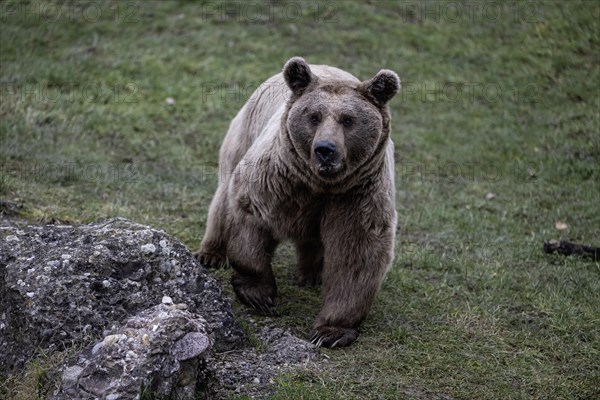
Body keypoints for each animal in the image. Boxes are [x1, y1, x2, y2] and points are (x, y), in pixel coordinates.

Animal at [197, 56, 400, 346]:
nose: (325, 149)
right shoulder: (278, 178)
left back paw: (312, 274)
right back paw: (211, 253)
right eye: (314, 116)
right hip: (244, 132)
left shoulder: (356, 194)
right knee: (223, 196)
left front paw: (331, 332)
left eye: (348, 120)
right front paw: (259, 294)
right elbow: (249, 215)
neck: (320, 184)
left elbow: (357, 253)